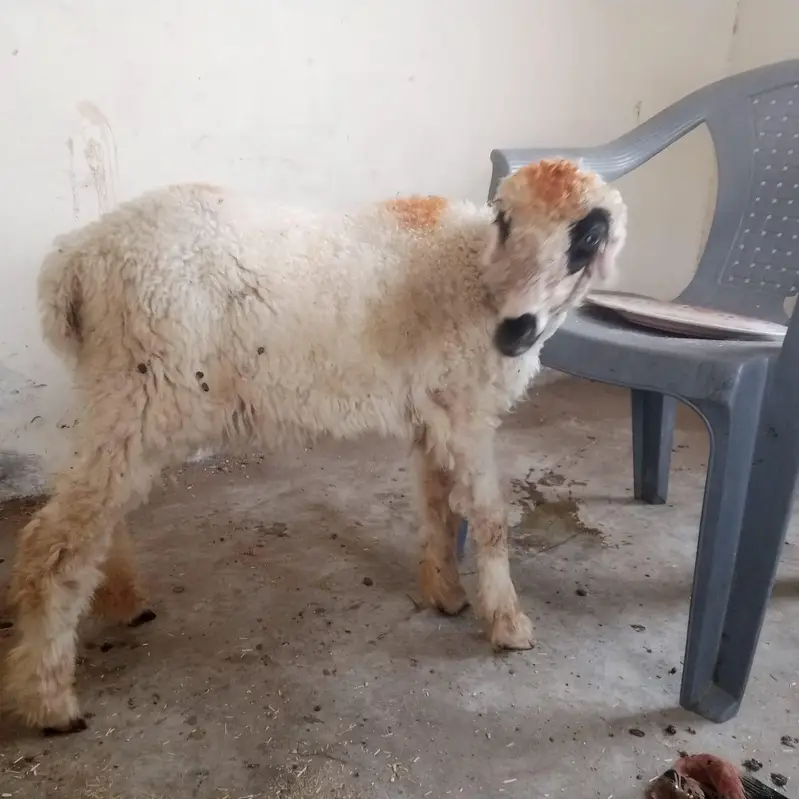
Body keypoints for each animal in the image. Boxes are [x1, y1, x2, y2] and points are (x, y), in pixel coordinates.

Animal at [3, 158, 628, 733]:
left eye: (586, 237)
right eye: (506, 221)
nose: (514, 332)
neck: (474, 275)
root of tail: (76, 259)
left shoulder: (433, 411)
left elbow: (436, 508)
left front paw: (445, 595)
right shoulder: (466, 412)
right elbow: (491, 520)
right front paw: (507, 625)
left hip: (117, 396)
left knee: (95, 516)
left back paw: (124, 604)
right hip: (142, 390)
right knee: (54, 543)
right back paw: (51, 702)